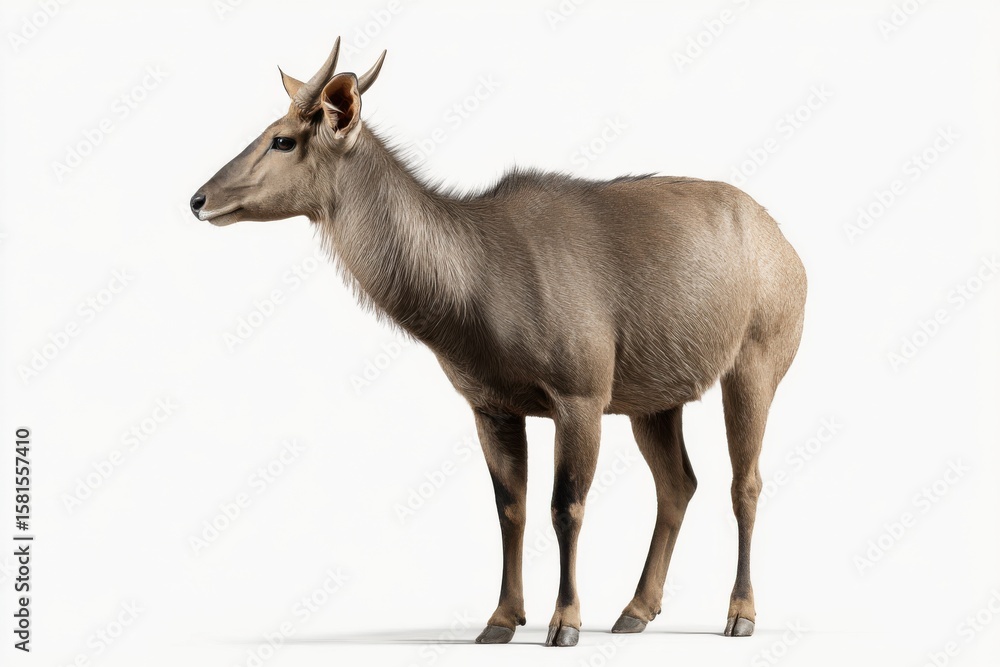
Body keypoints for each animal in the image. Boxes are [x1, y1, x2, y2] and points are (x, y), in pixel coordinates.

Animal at [191, 38, 807, 647]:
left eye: (283, 138)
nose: (198, 199)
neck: (469, 304)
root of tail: (792, 253)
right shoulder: (490, 404)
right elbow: (511, 508)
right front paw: (501, 620)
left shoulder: (581, 392)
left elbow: (566, 506)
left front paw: (564, 622)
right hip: (653, 398)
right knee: (679, 482)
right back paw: (636, 609)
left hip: (756, 361)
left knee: (745, 482)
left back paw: (739, 614)